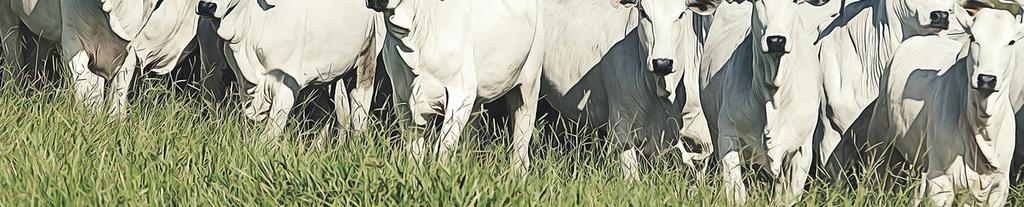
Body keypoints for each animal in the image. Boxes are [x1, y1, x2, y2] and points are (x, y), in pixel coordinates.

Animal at [195, 0, 380, 140]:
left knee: (358, 107)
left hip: (366, 60)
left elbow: (269, 135)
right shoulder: (245, 86)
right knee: (329, 112)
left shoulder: (285, 86)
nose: (206, 6)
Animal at [368, 0, 544, 174]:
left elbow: (443, 147)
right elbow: (413, 149)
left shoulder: (461, 94)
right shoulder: (401, 96)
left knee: (521, 144)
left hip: (529, 84)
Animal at [700, 0, 835, 203]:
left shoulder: (802, 149)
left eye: (794, 2)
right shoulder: (727, 138)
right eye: (758, 2)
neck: (773, 96)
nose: (776, 40)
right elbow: (736, 194)